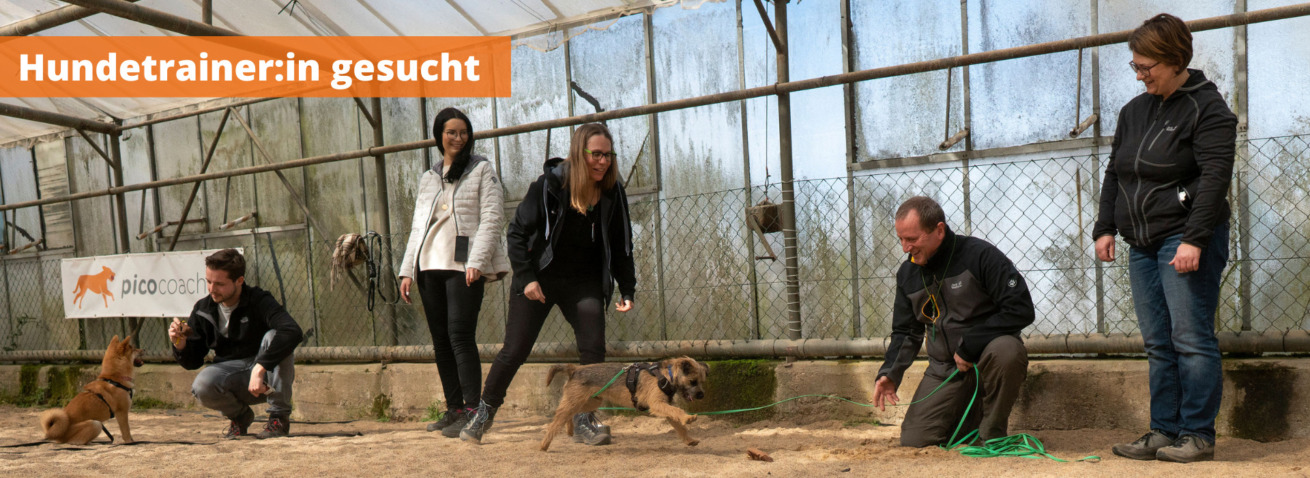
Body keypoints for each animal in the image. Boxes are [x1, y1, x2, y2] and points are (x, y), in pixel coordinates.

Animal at [540, 356, 710, 451]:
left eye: (702, 381)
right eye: (692, 381)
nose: (702, 395)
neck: (666, 374)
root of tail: (575, 369)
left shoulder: (664, 407)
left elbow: (678, 423)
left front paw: (689, 439)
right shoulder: (656, 404)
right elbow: (677, 412)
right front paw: (688, 418)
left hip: (591, 402)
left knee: (572, 413)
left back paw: (569, 429)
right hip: (576, 401)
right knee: (555, 423)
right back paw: (544, 445)